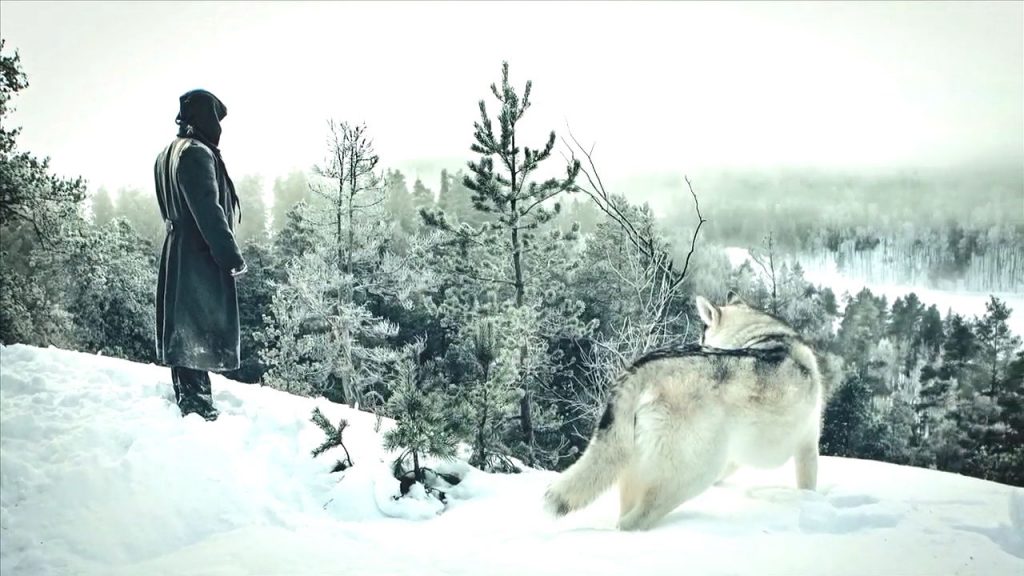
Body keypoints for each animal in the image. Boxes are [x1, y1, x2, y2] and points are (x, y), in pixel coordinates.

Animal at [544, 291, 823, 528]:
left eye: (702, 335)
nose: (698, 341)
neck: (765, 333)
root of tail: (644, 366)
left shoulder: (738, 455)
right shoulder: (807, 446)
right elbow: (808, 485)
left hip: (637, 465)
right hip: (694, 475)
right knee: (633, 521)